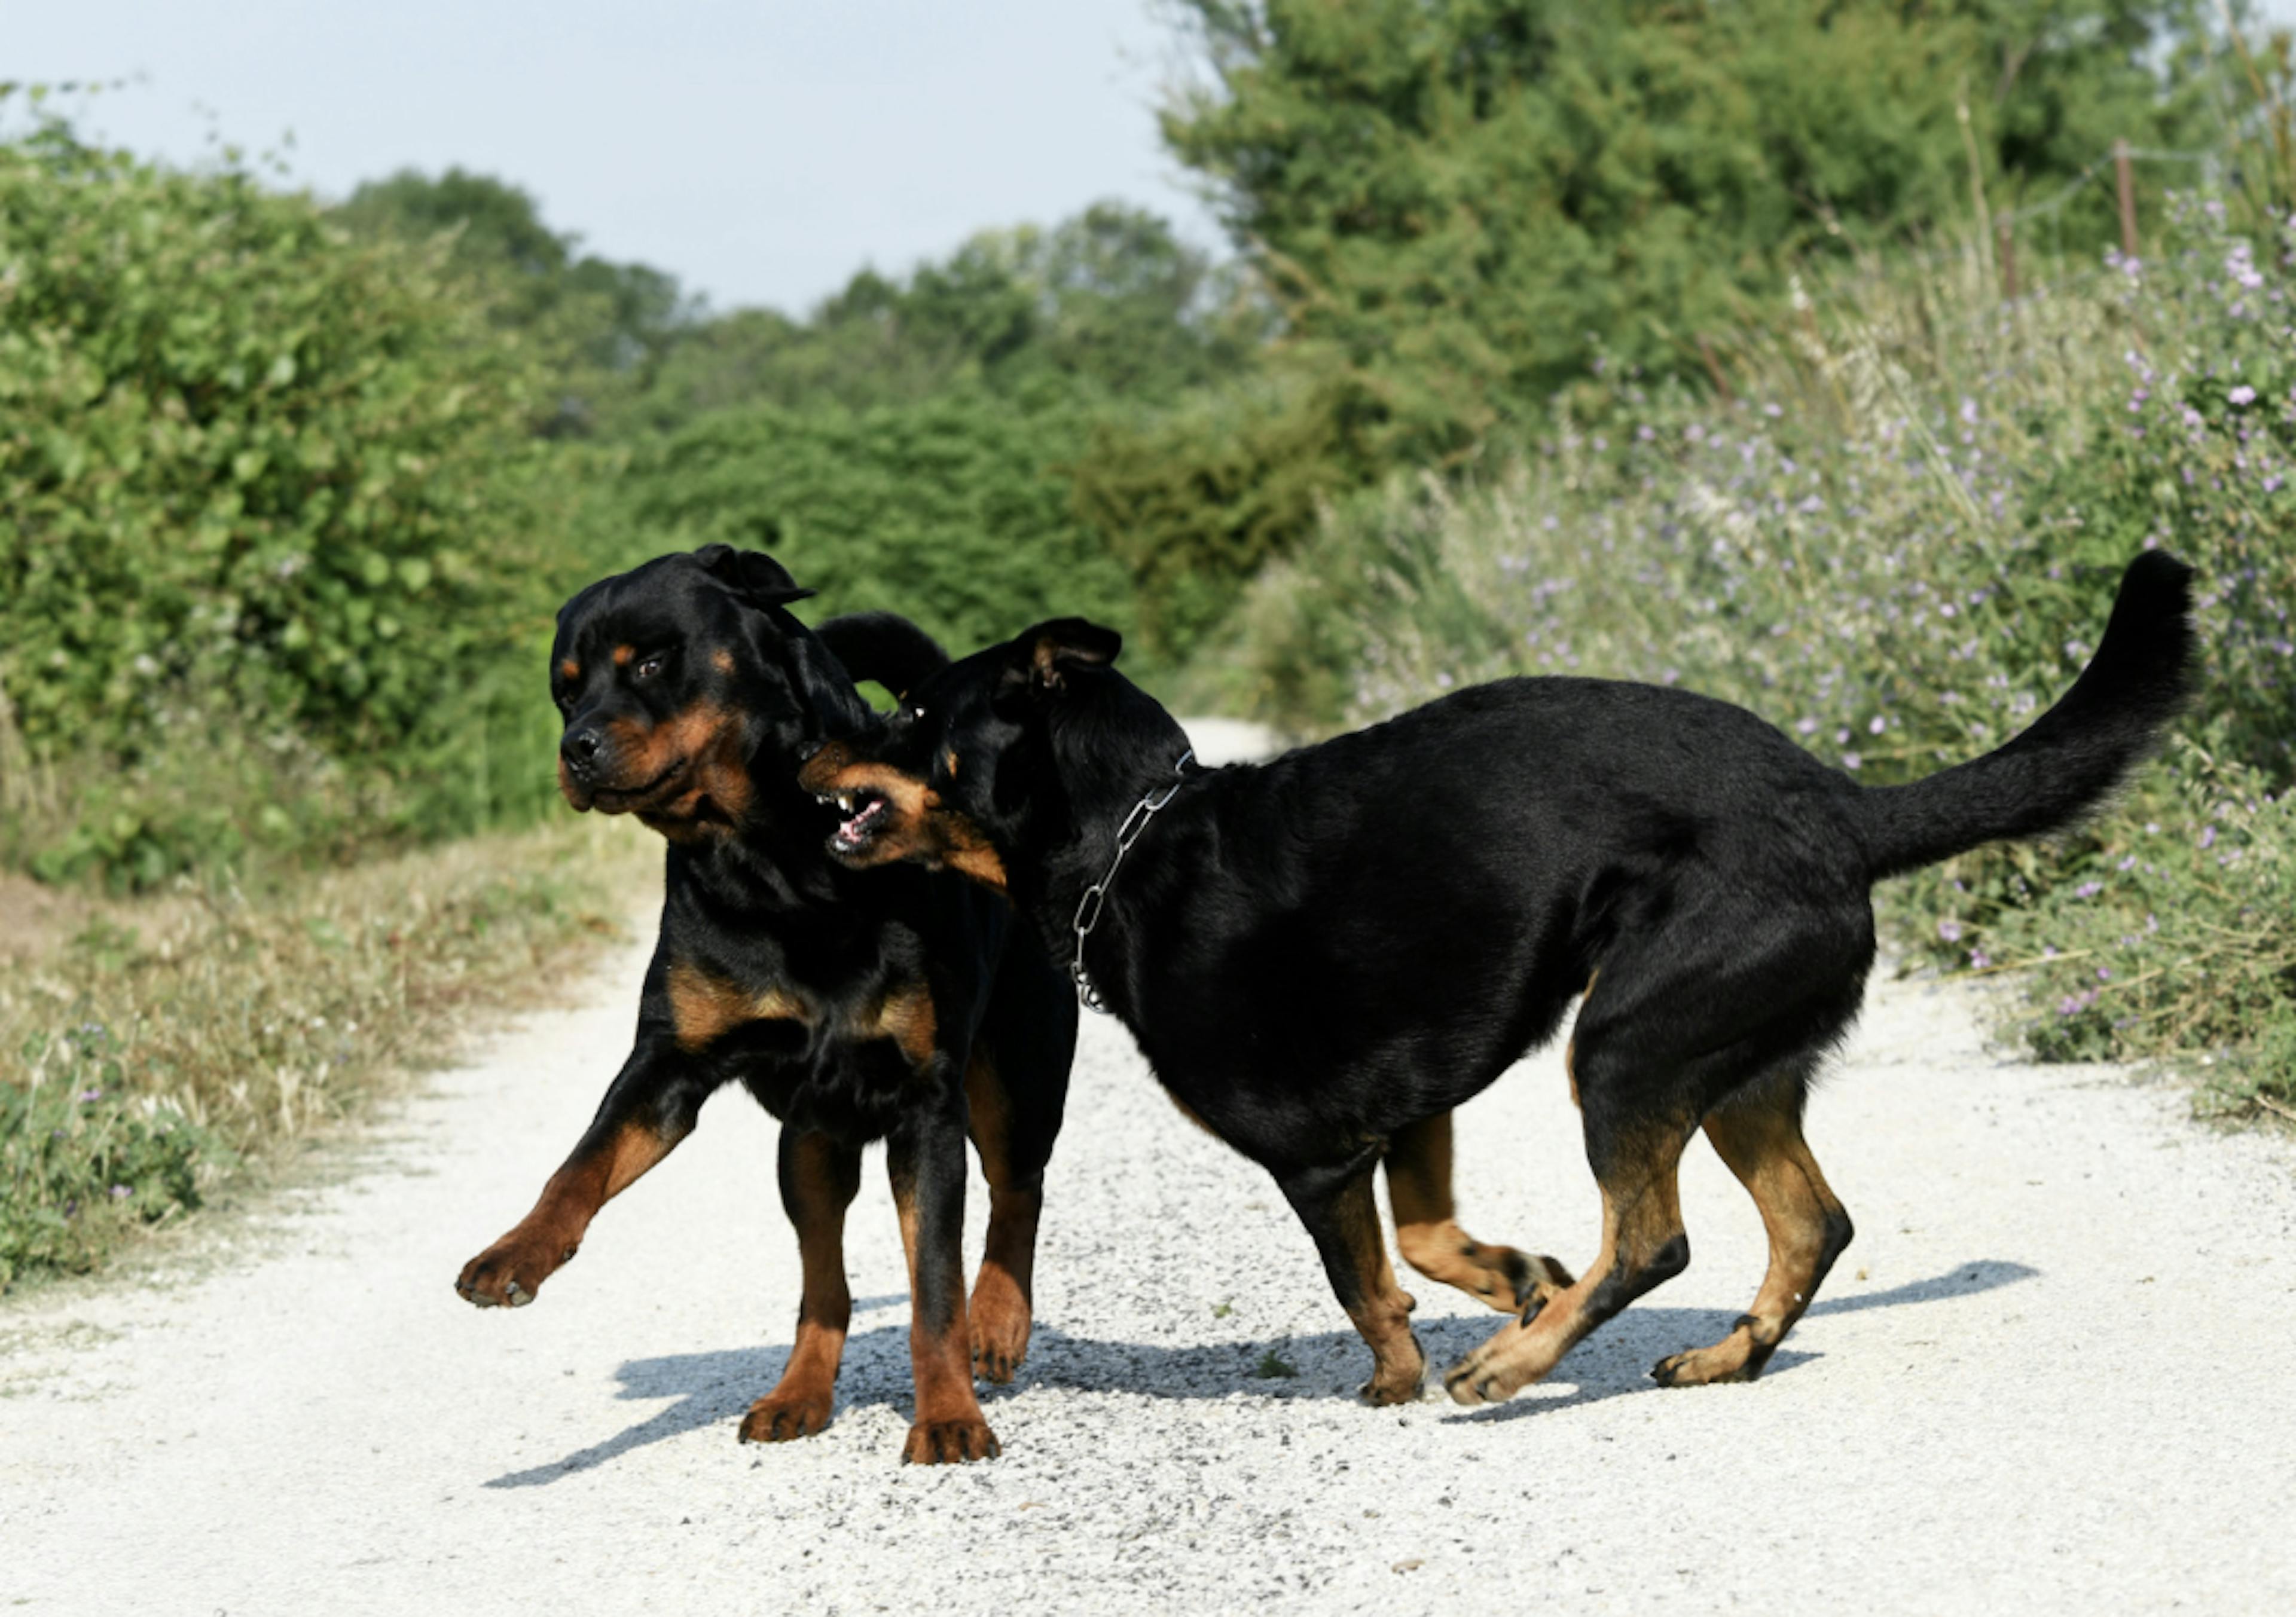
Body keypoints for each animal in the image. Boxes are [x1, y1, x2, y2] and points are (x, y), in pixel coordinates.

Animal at [466, 546, 1083, 1470]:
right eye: (565, 692)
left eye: (652, 662)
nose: (575, 747)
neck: (775, 863)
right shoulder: (666, 1067)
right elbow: (581, 1163)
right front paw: (516, 1251)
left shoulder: (924, 1103)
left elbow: (934, 1289)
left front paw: (947, 1415)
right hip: (810, 1143)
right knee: (822, 1279)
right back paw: (798, 1393)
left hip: (1018, 1071)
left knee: (1017, 1190)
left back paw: (999, 1322)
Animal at [804, 554, 2185, 1405]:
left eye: (911, 716)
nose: (812, 748)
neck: (1136, 839)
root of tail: (1845, 809)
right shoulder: (1416, 1108)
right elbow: (1425, 1236)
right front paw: (1517, 1279)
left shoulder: (1313, 1153)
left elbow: (1364, 1280)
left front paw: (1405, 1373)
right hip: (1730, 1061)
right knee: (1810, 1224)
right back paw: (1712, 1356)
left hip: (1627, 1044)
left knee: (1657, 1239)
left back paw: (1511, 1373)